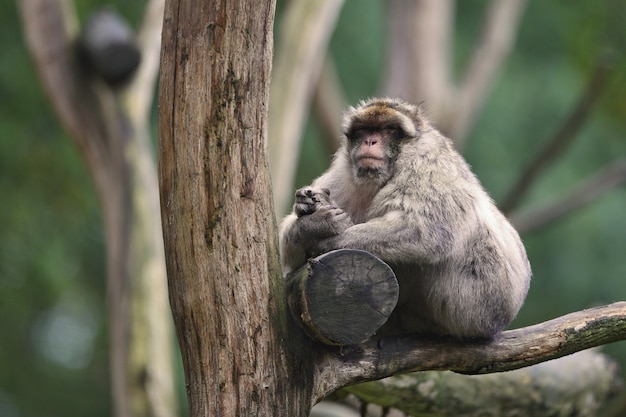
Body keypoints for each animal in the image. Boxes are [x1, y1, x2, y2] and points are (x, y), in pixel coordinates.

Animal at [280, 97, 528, 338]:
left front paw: (325, 240)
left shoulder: (426, 162)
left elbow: (428, 230)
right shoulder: (343, 173)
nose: (370, 141)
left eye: (389, 129)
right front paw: (312, 225)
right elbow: (287, 247)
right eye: (364, 129)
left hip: (474, 305)